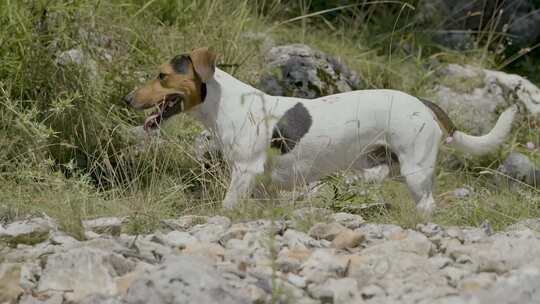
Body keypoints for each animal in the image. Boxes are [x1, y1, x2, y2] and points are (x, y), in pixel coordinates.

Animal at [124, 47, 516, 214]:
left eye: (162, 76)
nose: (127, 98)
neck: (226, 103)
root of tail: (422, 101)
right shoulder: (259, 182)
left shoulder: (245, 171)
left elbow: (227, 205)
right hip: (383, 163)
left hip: (416, 171)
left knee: (428, 204)